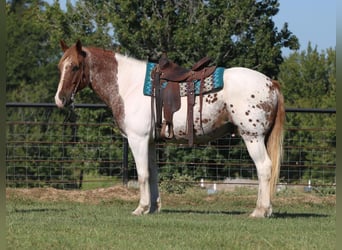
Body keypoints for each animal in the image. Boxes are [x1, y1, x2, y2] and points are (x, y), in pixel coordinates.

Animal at [54, 40, 284, 218]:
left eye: (75, 67)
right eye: (59, 66)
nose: (60, 99)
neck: (129, 86)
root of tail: (271, 83)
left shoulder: (137, 139)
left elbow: (142, 174)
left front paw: (141, 208)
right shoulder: (150, 142)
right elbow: (153, 173)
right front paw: (154, 207)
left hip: (252, 136)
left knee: (264, 168)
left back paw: (259, 211)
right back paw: (266, 209)